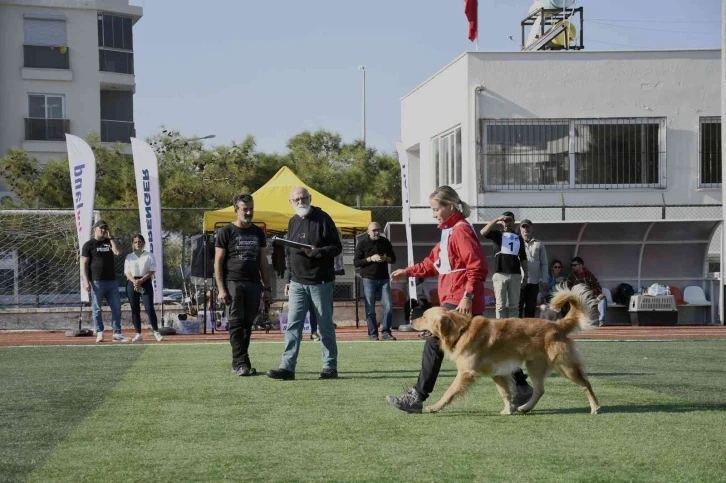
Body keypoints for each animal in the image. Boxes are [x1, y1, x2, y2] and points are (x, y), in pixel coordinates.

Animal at [416, 284, 604, 416]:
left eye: (424, 316)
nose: (412, 319)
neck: (462, 329)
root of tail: (557, 324)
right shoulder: (497, 372)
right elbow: (505, 393)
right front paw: (508, 409)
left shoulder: (466, 373)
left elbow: (449, 392)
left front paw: (435, 407)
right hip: (535, 365)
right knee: (539, 390)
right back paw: (526, 407)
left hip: (564, 365)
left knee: (586, 384)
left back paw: (595, 407)